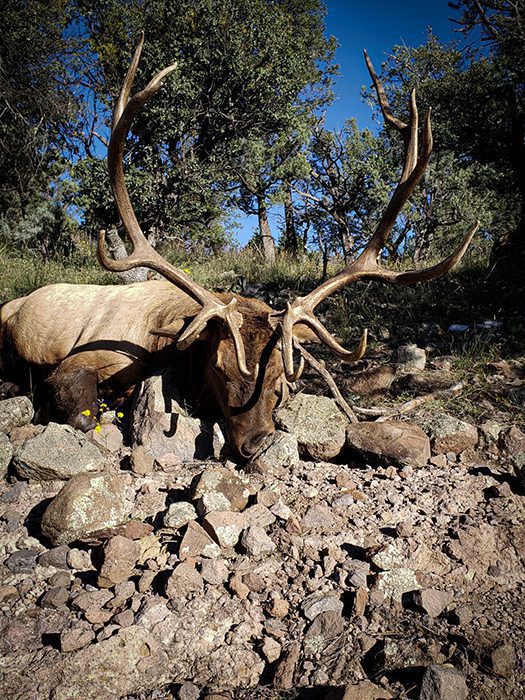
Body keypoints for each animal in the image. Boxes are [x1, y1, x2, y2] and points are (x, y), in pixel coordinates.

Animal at [0, 35, 478, 460]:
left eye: (281, 378)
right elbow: (80, 415)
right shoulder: (85, 356)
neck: (167, 341)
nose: (256, 443)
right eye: (219, 368)